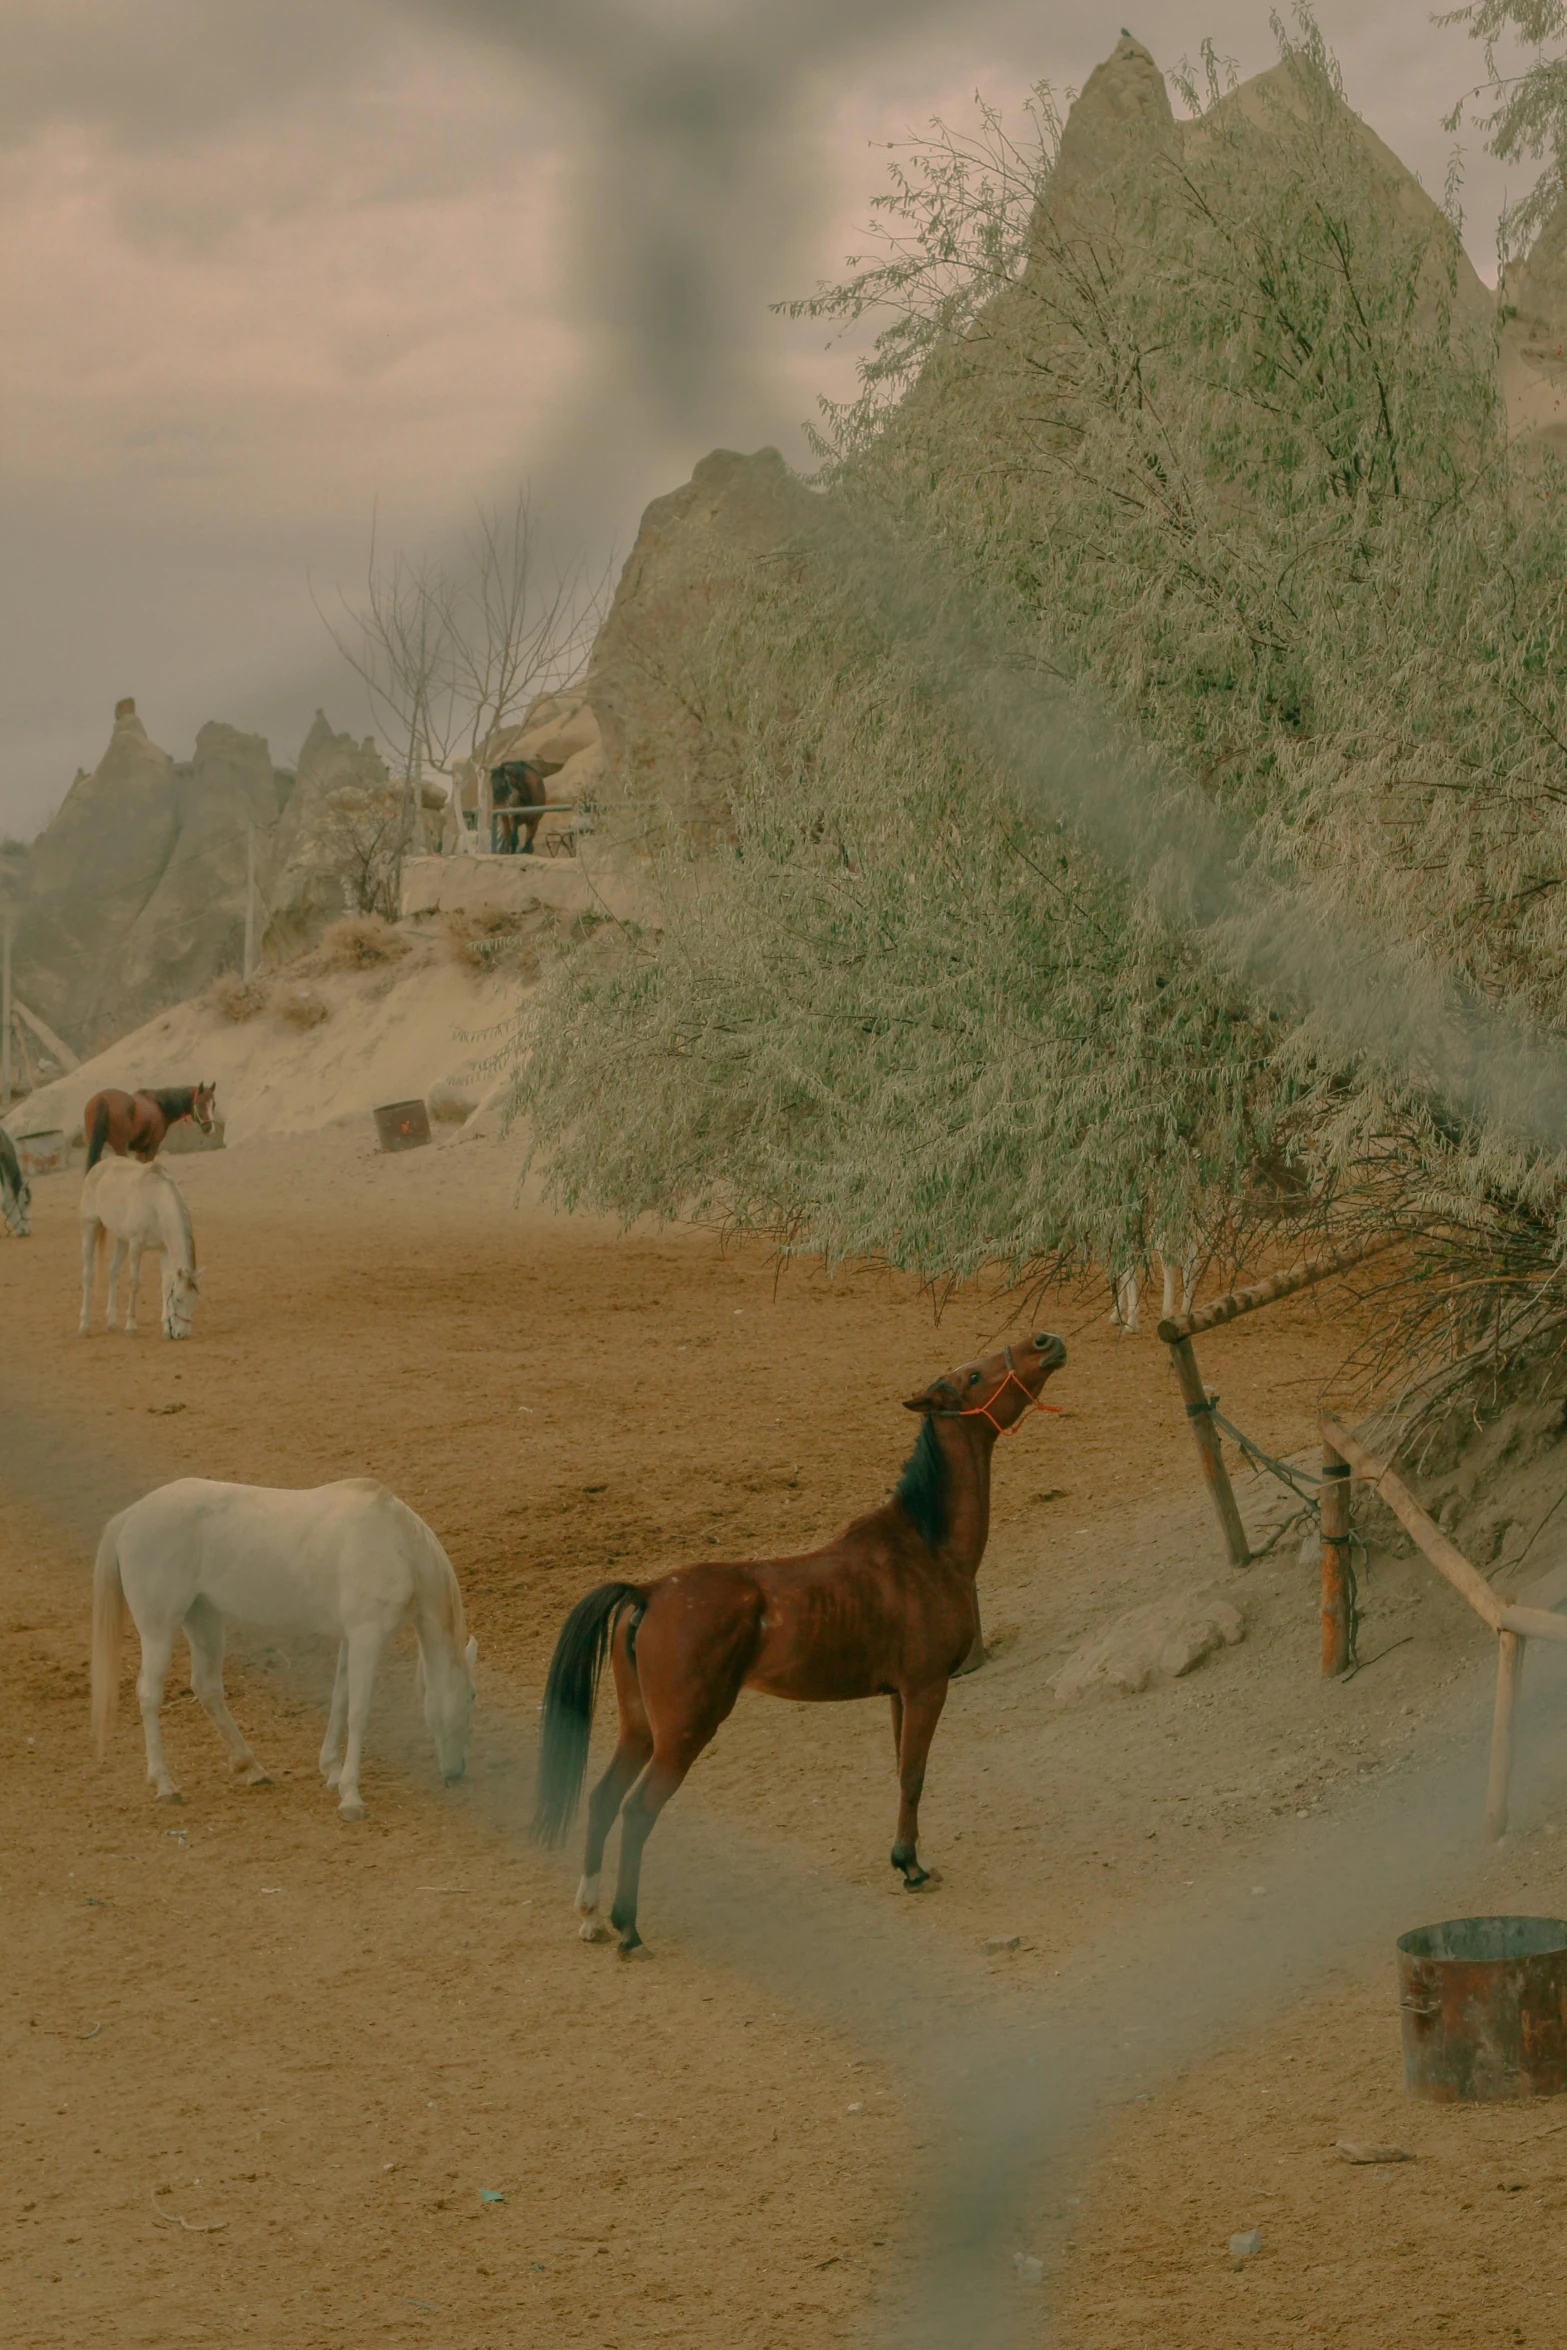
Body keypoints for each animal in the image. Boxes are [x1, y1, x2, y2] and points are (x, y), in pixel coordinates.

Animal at [78, 1160, 199, 1344]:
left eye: (194, 1300)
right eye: (178, 1298)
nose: (182, 1333)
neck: (154, 1201)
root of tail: (97, 1167)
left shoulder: (164, 1248)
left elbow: (165, 1284)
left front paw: (165, 1328)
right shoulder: (136, 1246)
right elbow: (134, 1283)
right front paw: (131, 1327)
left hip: (122, 1240)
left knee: (113, 1272)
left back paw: (112, 1323)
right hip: (90, 1226)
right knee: (88, 1274)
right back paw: (84, 1326)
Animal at [82, 1081, 216, 1175]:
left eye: (213, 1104)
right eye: (200, 1103)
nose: (210, 1128)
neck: (159, 1106)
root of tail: (102, 1099)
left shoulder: (139, 1150)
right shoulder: (152, 1147)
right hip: (120, 1147)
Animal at [95, 1475, 474, 1823]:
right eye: (471, 1697)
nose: (457, 1772)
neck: (398, 1544)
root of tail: (131, 1516)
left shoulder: (350, 1638)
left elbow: (340, 1699)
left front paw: (331, 1771)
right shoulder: (367, 1636)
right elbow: (359, 1711)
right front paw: (350, 1795)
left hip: (203, 1618)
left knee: (207, 1688)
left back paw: (253, 1768)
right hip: (160, 1627)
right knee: (149, 1694)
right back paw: (165, 1785)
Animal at [535, 1334, 1066, 1955]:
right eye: (976, 1376)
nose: (1044, 1342)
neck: (925, 1546)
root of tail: (649, 1592)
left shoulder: (897, 1694)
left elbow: (902, 1771)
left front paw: (912, 1859)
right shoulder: (927, 1688)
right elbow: (914, 1775)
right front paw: (910, 1867)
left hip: (640, 1729)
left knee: (600, 1800)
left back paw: (592, 1915)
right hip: (682, 1735)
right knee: (637, 1810)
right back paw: (627, 1926)